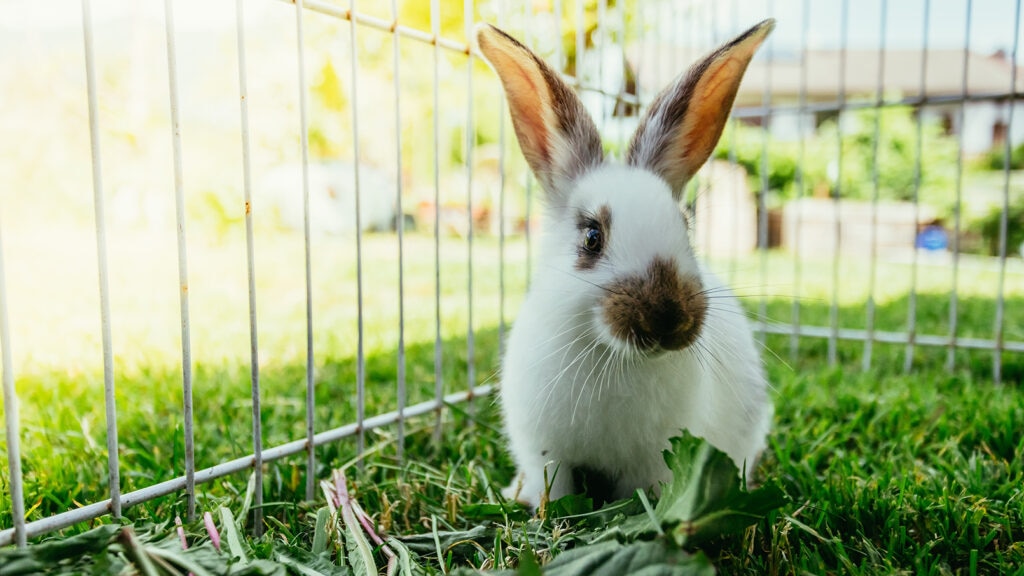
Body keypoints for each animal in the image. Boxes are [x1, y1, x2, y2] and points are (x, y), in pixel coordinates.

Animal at [475, 19, 776, 508]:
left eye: (686, 225)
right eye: (592, 237)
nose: (668, 319)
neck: (613, 357)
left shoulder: (654, 460)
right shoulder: (544, 451)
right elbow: (553, 486)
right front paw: (542, 507)